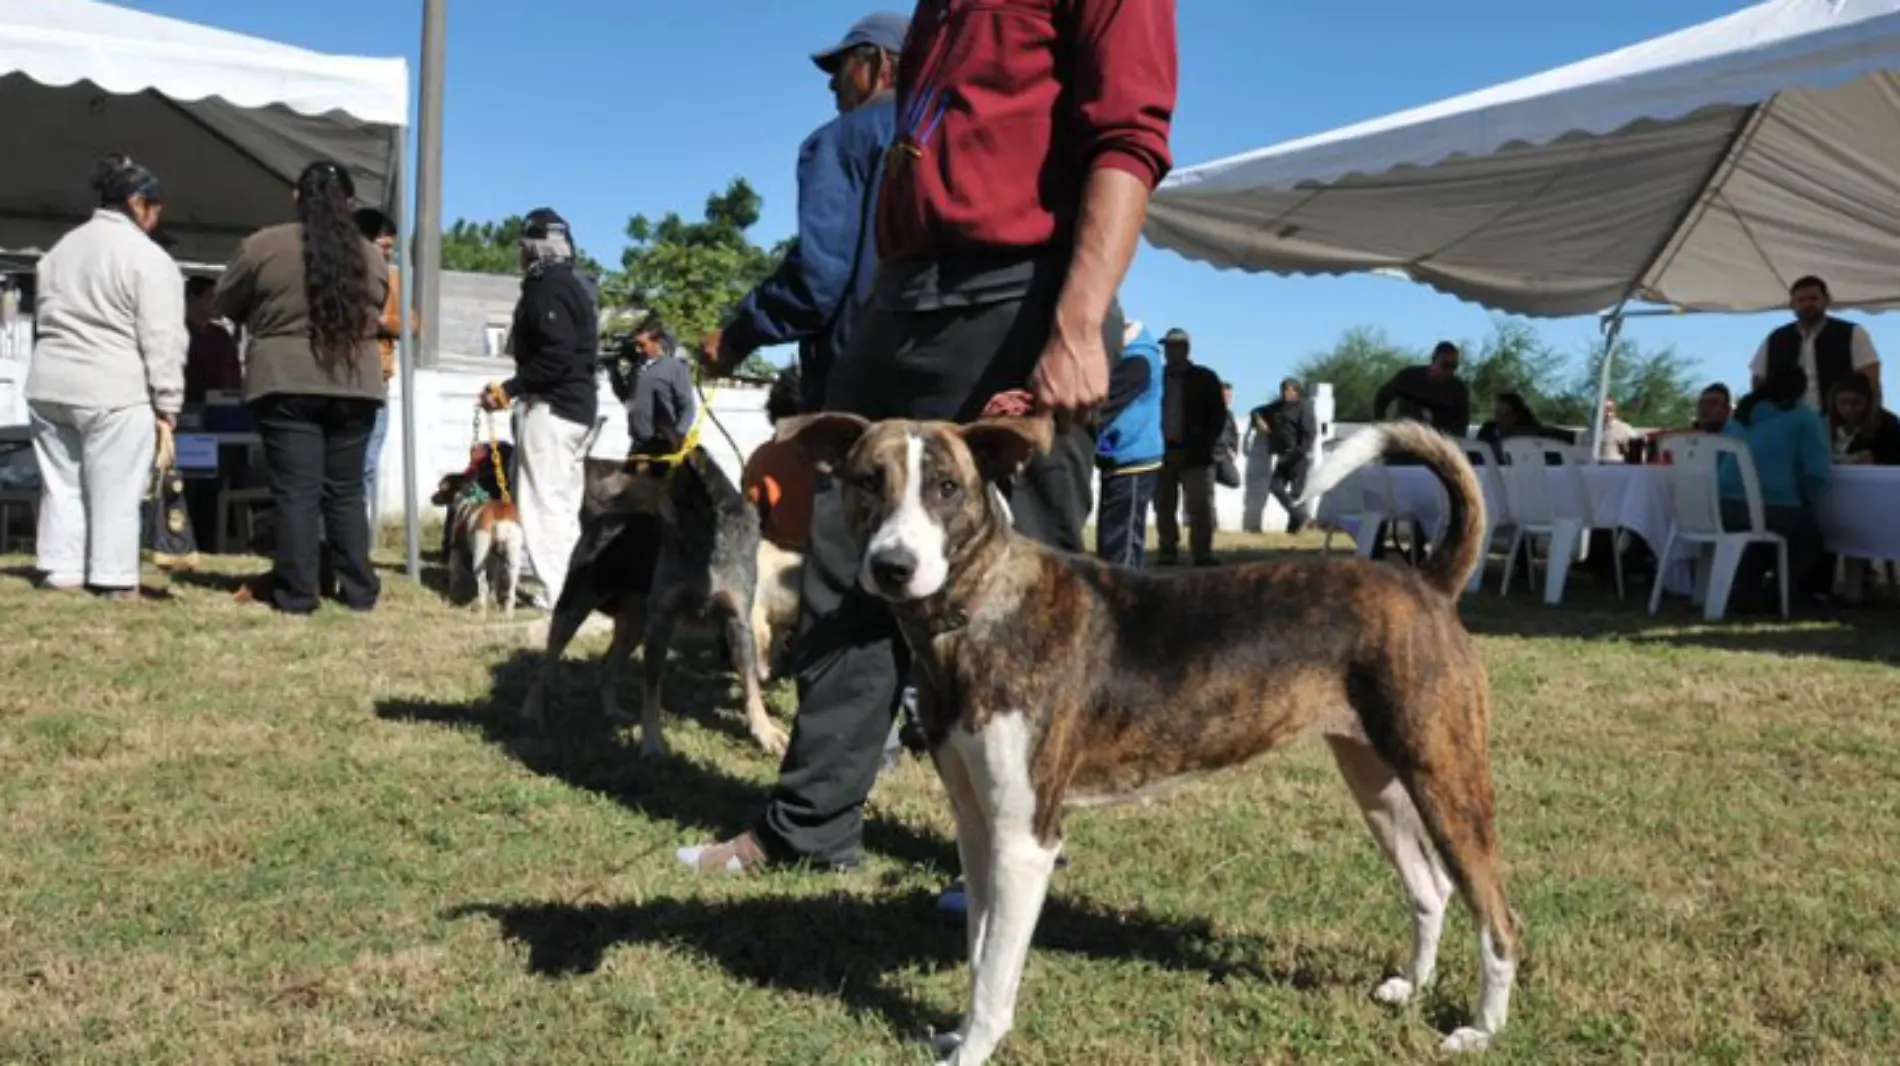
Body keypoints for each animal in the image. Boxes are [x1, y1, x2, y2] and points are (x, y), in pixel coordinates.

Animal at [429, 471, 520, 615]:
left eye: (442, 487)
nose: (431, 498)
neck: (467, 500)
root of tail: (500, 516)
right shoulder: (493, 558)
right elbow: (494, 581)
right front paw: (493, 601)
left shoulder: (456, 549)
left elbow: (454, 575)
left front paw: (453, 596)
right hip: (513, 556)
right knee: (510, 588)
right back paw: (508, 613)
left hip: (478, 555)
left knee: (483, 585)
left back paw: (481, 610)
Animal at [779, 414, 1520, 1064]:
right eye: (868, 481)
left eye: (946, 488)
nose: (892, 566)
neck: (980, 610)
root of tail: (1427, 581)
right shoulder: (976, 827)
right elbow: (978, 949)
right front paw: (959, 1034)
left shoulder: (1025, 839)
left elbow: (994, 975)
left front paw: (973, 1052)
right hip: (1377, 782)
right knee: (1431, 889)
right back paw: (1411, 987)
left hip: (1447, 778)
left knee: (1498, 917)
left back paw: (1480, 1030)